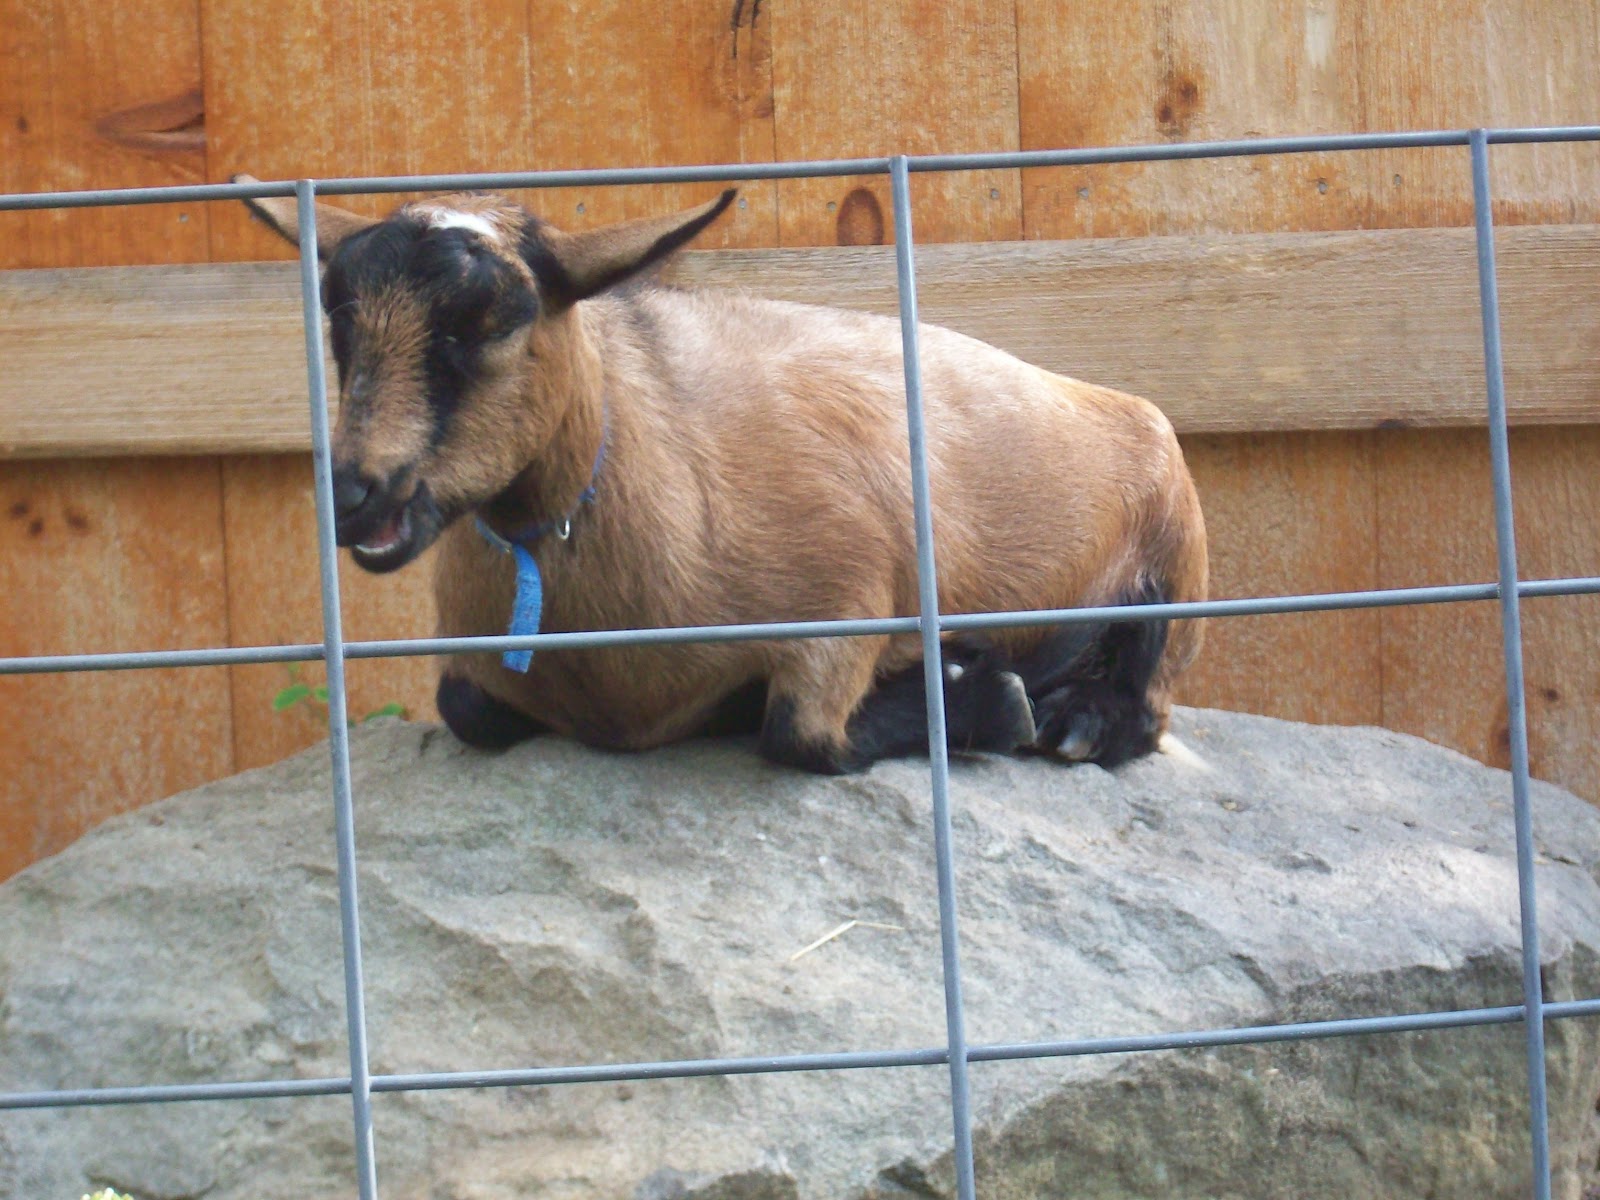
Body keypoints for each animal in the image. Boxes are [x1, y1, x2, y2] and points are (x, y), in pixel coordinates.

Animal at [239, 179, 1208, 774]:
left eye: (491, 322)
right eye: (338, 327)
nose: (355, 493)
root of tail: (1119, 402)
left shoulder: (853, 591)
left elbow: (803, 733)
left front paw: (991, 698)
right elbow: (463, 708)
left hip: (1172, 552)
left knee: (1149, 701)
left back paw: (1075, 717)